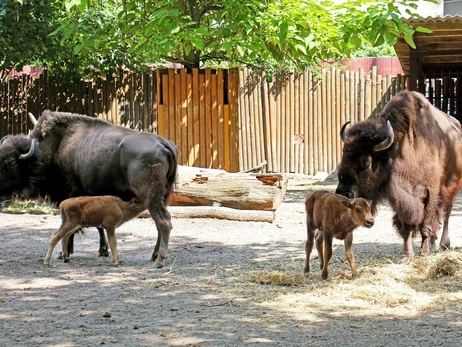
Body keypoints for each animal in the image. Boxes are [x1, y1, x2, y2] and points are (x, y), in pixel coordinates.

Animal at [0, 110, 177, 268]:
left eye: (11, 163)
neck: (57, 146)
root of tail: (164, 144)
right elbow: (96, 226)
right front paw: (101, 251)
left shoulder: (71, 195)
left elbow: (73, 229)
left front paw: (64, 253)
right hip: (163, 196)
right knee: (160, 223)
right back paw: (154, 255)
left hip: (150, 196)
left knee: (163, 222)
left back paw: (159, 260)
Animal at [336, 91, 462, 260]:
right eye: (344, 155)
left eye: (365, 161)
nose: (343, 193)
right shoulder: (401, 197)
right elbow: (406, 227)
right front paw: (408, 255)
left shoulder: (431, 192)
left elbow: (426, 224)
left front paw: (424, 252)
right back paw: (434, 242)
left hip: (451, 186)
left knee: (446, 213)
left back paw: (443, 244)